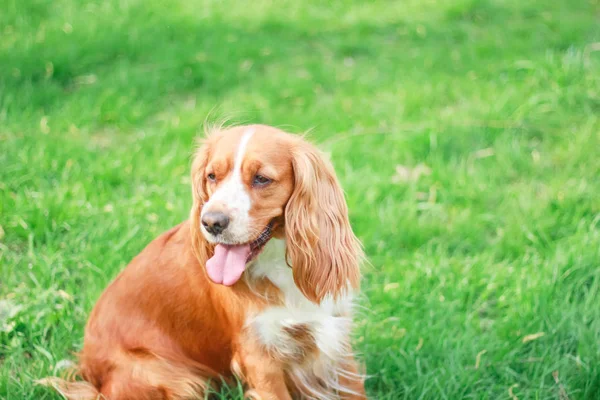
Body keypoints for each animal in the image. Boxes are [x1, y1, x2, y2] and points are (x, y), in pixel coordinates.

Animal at [43, 123, 366, 398]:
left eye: (261, 179)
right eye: (212, 176)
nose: (211, 222)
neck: (278, 264)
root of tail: (90, 370)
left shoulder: (335, 337)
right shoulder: (260, 357)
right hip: (177, 379)